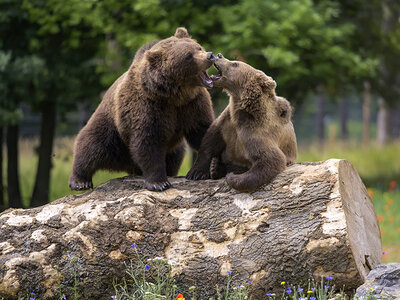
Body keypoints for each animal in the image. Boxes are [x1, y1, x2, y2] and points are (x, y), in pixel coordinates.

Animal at [70, 28, 217, 192]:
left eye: (199, 47)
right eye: (188, 56)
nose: (210, 55)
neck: (174, 95)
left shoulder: (193, 104)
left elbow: (203, 130)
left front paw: (201, 172)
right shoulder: (148, 106)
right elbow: (148, 141)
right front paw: (159, 182)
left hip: (173, 147)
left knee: (175, 157)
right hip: (112, 129)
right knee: (91, 145)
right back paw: (80, 181)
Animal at [185, 54, 296, 192]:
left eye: (235, 64)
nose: (219, 55)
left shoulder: (255, 131)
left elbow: (270, 159)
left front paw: (232, 178)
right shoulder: (226, 122)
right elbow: (209, 141)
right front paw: (195, 172)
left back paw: (217, 168)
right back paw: (214, 167)